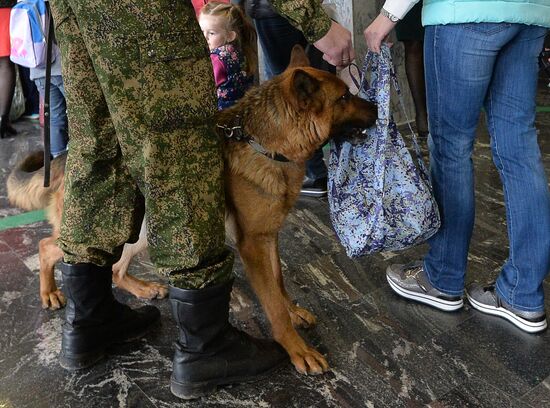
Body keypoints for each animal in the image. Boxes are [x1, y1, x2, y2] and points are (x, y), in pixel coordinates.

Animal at [7, 46, 380, 374]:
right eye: (344, 98)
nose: (377, 108)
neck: (264, 143)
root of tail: (66, 156)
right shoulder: (252, 245)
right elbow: (271, 302)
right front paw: (296, 348)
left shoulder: (268, 236)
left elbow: (279, 282)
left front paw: (293, 311)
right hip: (109, 227)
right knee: (49, 247)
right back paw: (50, 292)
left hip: (140, 232)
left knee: (113, 270)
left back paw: (142, 290)